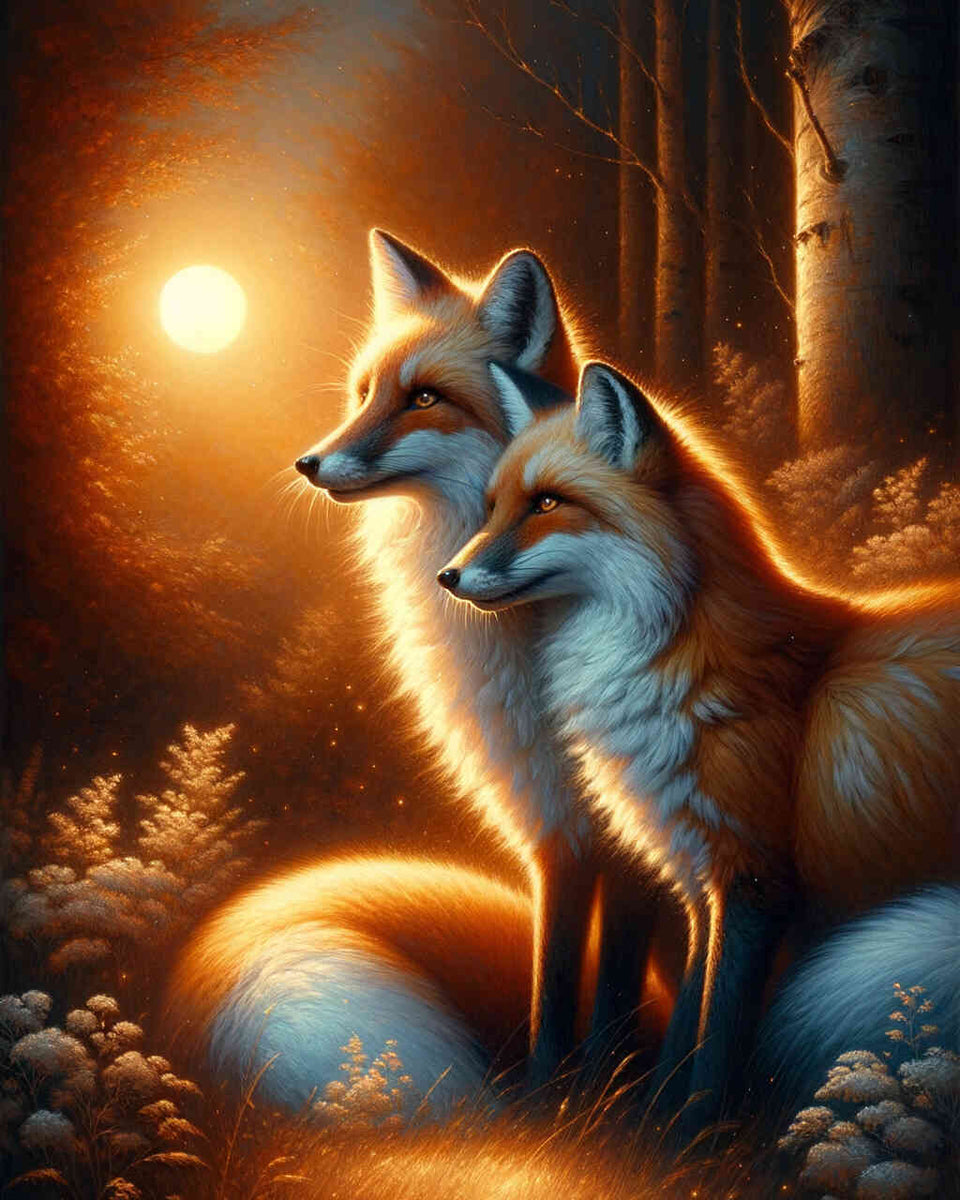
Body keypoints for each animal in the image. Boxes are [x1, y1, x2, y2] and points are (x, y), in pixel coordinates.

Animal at [292, 232, 671, 1085]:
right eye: (364, 394)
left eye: (425, 399)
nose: (308, 462)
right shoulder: (555, 827)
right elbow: (554, 971)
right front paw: (555, 1090)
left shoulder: (633, 834)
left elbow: (614, 983)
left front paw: (606, 1093)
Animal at [439, 358, 960, 1137]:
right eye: (494, 506)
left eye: (547, 503)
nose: (447, 576)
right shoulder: (696, 876)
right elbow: (691, 1015)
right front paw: (655, 1133)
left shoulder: (756, 881)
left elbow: (719, 1038)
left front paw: (696, 1136)